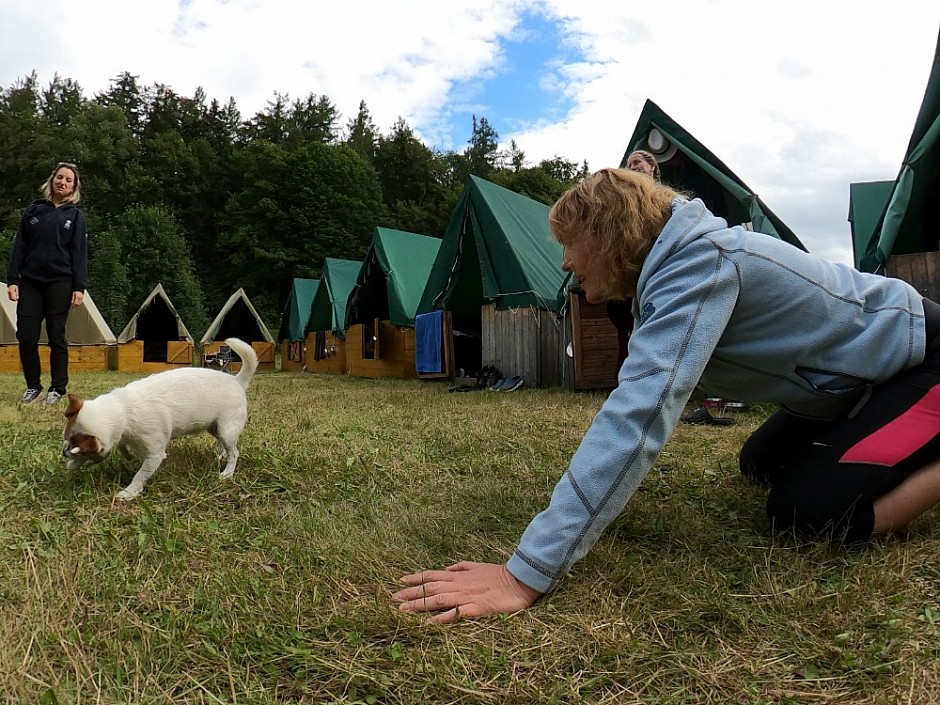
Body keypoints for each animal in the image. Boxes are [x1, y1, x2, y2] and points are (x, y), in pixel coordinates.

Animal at [62, 336, 258, 498]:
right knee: (224, 445)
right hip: (215, 427)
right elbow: (119, 448)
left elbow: (140, 475)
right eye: (65, 439)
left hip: (227, 429)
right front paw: (126, 456)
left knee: (234, 452)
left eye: (78, 450)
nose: (64, 453)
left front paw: (129, 492)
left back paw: (227, 473)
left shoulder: (155, 455)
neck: (124, 409)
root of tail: (237, 381)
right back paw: (221, 456)